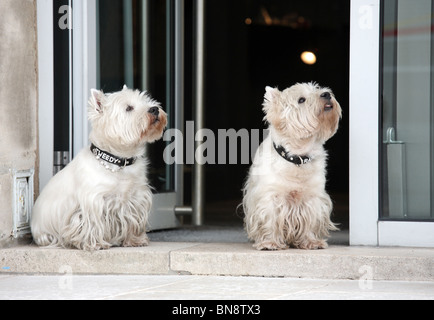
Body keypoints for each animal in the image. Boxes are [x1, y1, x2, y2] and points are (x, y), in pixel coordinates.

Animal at [31, 86, 167, 251]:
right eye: (128, 108)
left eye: (147, 101)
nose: (154, 109)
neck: (118, 161)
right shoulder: (93, 200)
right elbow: (92, 223)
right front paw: (96, 244)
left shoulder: (136, 197)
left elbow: (133, 219)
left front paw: (135, 240)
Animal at [242, 82, 340, 250]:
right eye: (301, 100)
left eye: (317, 89)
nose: (327, 94)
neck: (297, 157)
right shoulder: (270, 196)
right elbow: (270, 219)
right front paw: (270, 242)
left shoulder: (312, 197)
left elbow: (310, 219)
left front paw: (311, 241)